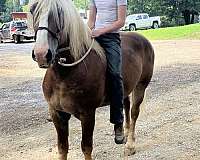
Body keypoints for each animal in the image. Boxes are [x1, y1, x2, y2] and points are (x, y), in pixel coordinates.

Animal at [29, 0, 155, 159]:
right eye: (32, 10)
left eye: (59, 12)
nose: (41, 54)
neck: (65, 74)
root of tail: (143, 39)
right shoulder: (57, 114)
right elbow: (62, 148)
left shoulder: (87, 114)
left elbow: (86, 147)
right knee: (125, 106)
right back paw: (123, 135)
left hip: (141, 86)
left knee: (133, 112)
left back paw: (130, 145)